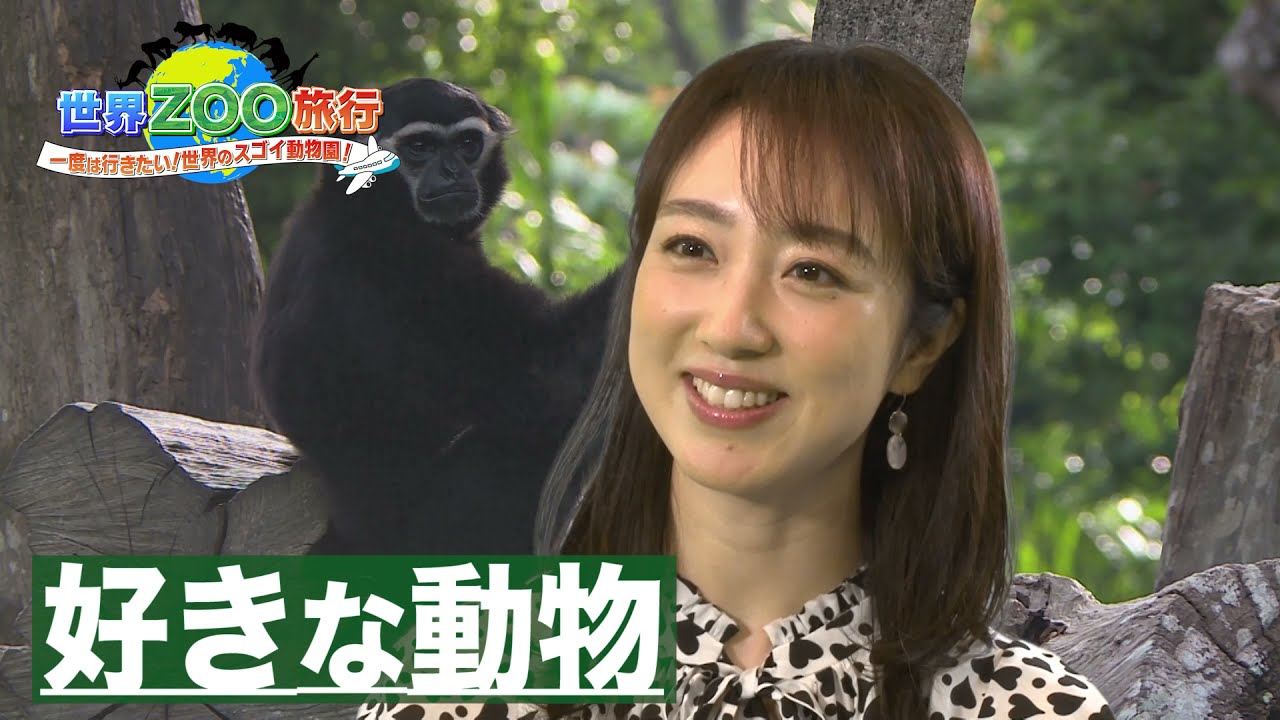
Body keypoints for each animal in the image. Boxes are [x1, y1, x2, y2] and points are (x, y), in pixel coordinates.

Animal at [250, 78, 620, 557]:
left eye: (467, 144)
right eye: (419, 147)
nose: (451, 172)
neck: (364, 207)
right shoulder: (404, 261)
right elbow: (545, 365)